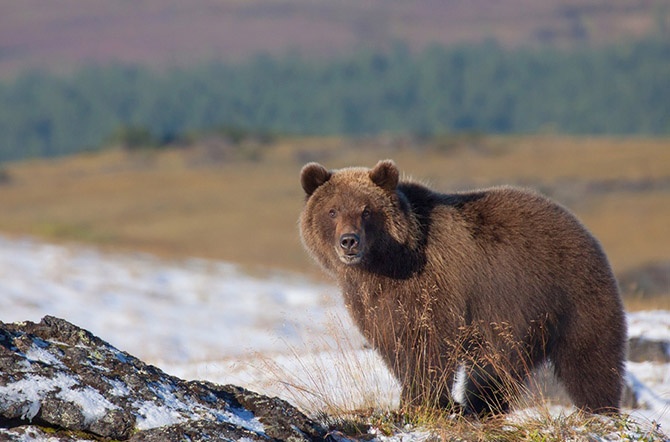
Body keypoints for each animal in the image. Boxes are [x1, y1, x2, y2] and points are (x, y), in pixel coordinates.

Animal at [300, 160, 632, 418]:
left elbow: (428, 347)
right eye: (332, 211)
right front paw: (424, 400)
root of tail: (578, 224)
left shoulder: (435, 288)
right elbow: (394, 347)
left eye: (366, 210)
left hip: (568, 294)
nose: (349, 241)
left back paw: (600, 411)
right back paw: (482, 407)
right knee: (496, 370)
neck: (385, 264)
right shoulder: (373, 302)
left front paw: (423, 402)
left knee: (590, 359)